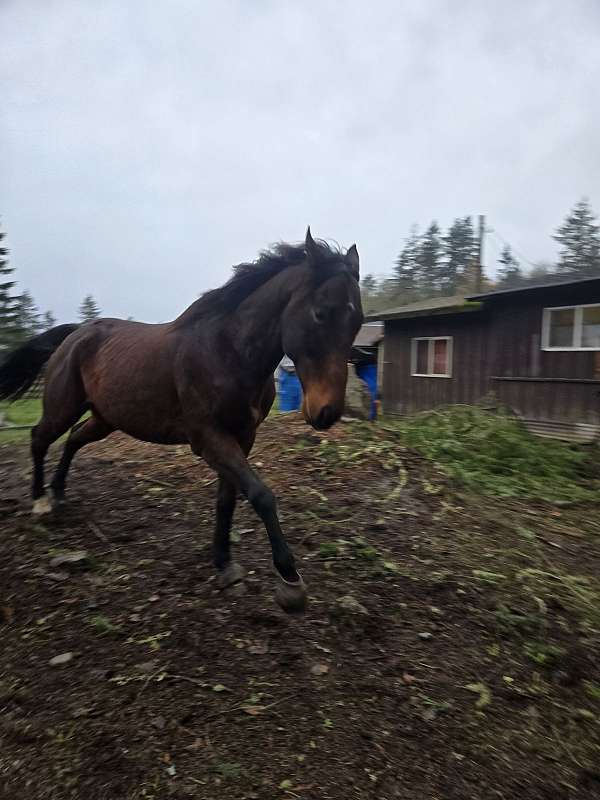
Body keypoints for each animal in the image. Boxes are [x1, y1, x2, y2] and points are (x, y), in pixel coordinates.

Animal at [0, 229, 363, 613]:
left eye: (356, 321)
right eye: (320, 313)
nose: (326, 412)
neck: (228, 352)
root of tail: (77, 333)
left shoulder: (242, 436)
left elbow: (228, 499)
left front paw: (224, 564)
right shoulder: (207, 438)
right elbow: (261, 495)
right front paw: (289, 581)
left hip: (105, 418)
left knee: (72, 439)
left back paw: (59, 495)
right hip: (64, 406)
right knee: (40, 437)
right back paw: (40, 502)